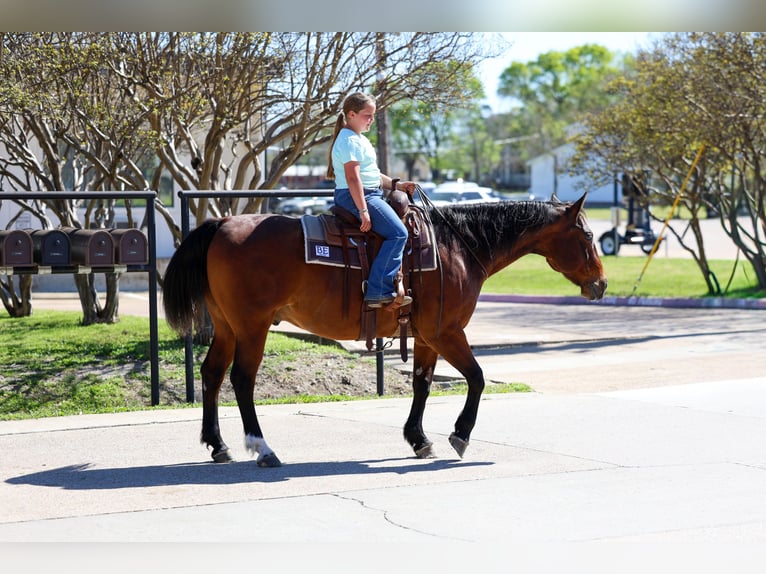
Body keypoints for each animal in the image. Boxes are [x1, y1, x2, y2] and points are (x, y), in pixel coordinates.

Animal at [162, 193, 607, 467]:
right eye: (587, 234)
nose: (601, 285)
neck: (457, 247)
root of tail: (221, 225)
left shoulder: (427, 336)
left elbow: (422, 383)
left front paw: (418, 439)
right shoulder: (448, 331)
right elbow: (478, 378)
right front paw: (459, 435)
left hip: (226, 326)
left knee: (212, 373)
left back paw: (218, 445)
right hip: (252, 326)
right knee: (242, 379)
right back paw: (262, 448)